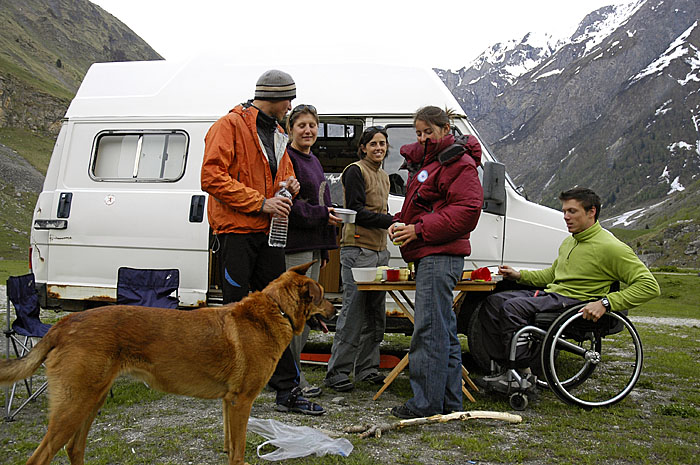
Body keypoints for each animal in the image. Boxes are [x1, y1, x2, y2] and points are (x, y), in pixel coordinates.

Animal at [0, 262, 334, 462]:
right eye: (320, 296)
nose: (335, 310)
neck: (276, 310)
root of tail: (63, 324)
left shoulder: (229, 402)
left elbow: (229, 445)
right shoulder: (242, 401)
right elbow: (238, 451)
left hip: (90, 401)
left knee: (74, 447)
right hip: (73, 406)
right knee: (41, 456)